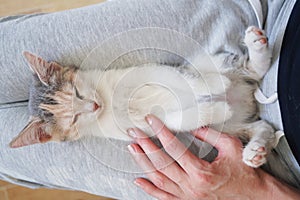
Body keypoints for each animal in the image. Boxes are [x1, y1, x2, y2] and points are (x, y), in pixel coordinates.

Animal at [9, 26, 276, 167]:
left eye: (77, 92)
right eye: (73, 119)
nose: (94, 106)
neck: (110, 102)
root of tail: (247, 97)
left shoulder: (154, 70)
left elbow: (181, 79)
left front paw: (211, 85)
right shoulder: (145, 126)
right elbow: (177, 121)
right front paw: (215, 108)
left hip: (208, 61)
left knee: (250, 69)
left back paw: (255, 46)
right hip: (230, 128)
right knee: (261, 126)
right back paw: (256, 150)